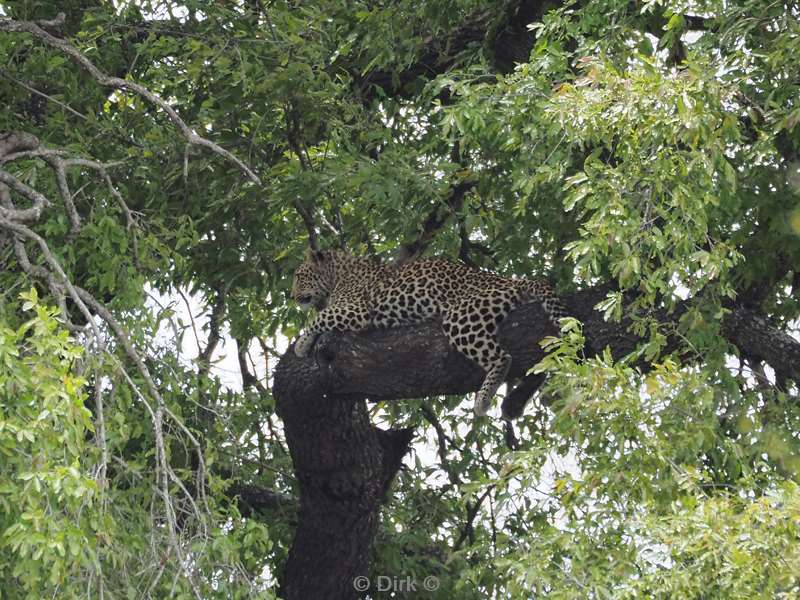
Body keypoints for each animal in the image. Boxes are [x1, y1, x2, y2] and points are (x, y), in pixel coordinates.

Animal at [294, 248, 568, 418]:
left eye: (298, 276)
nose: (291, 295)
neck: (337, 274)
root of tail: (512, 280)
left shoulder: (356, 310)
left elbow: (318, 318)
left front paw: (300, 344)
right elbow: (320, 316)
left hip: (461, 317)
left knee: (503, 357)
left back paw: (483, 399)